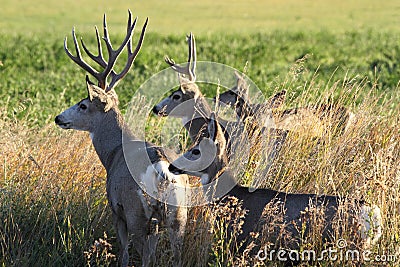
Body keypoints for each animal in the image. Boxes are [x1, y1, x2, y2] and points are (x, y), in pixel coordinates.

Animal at [54, 11, 188, 266]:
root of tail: (161, 170)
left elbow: (124, 252)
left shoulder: (116, 207)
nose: (58, 118)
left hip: (136, 212)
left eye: (83, 104)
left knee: (143, 255)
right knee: (175, 253)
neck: (114, 152)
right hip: (178, 214)